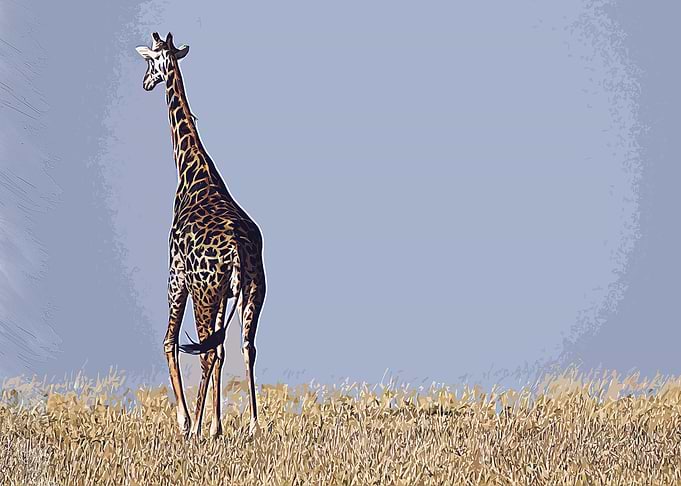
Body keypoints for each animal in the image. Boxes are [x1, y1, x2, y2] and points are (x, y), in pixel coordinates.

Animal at [136, 32, 266, 438]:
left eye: (149, 61)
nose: (145, 83)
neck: (192, 170)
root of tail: (237, 250)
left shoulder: (176, 274)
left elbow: (169, 342)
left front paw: (186, 421)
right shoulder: (226, 293)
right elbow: (223, 351)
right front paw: (215, 424)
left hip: (204, 292)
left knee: (206, 349)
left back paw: (196, 427)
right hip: (253, 292)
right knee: (244, 347)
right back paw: (252, 425)